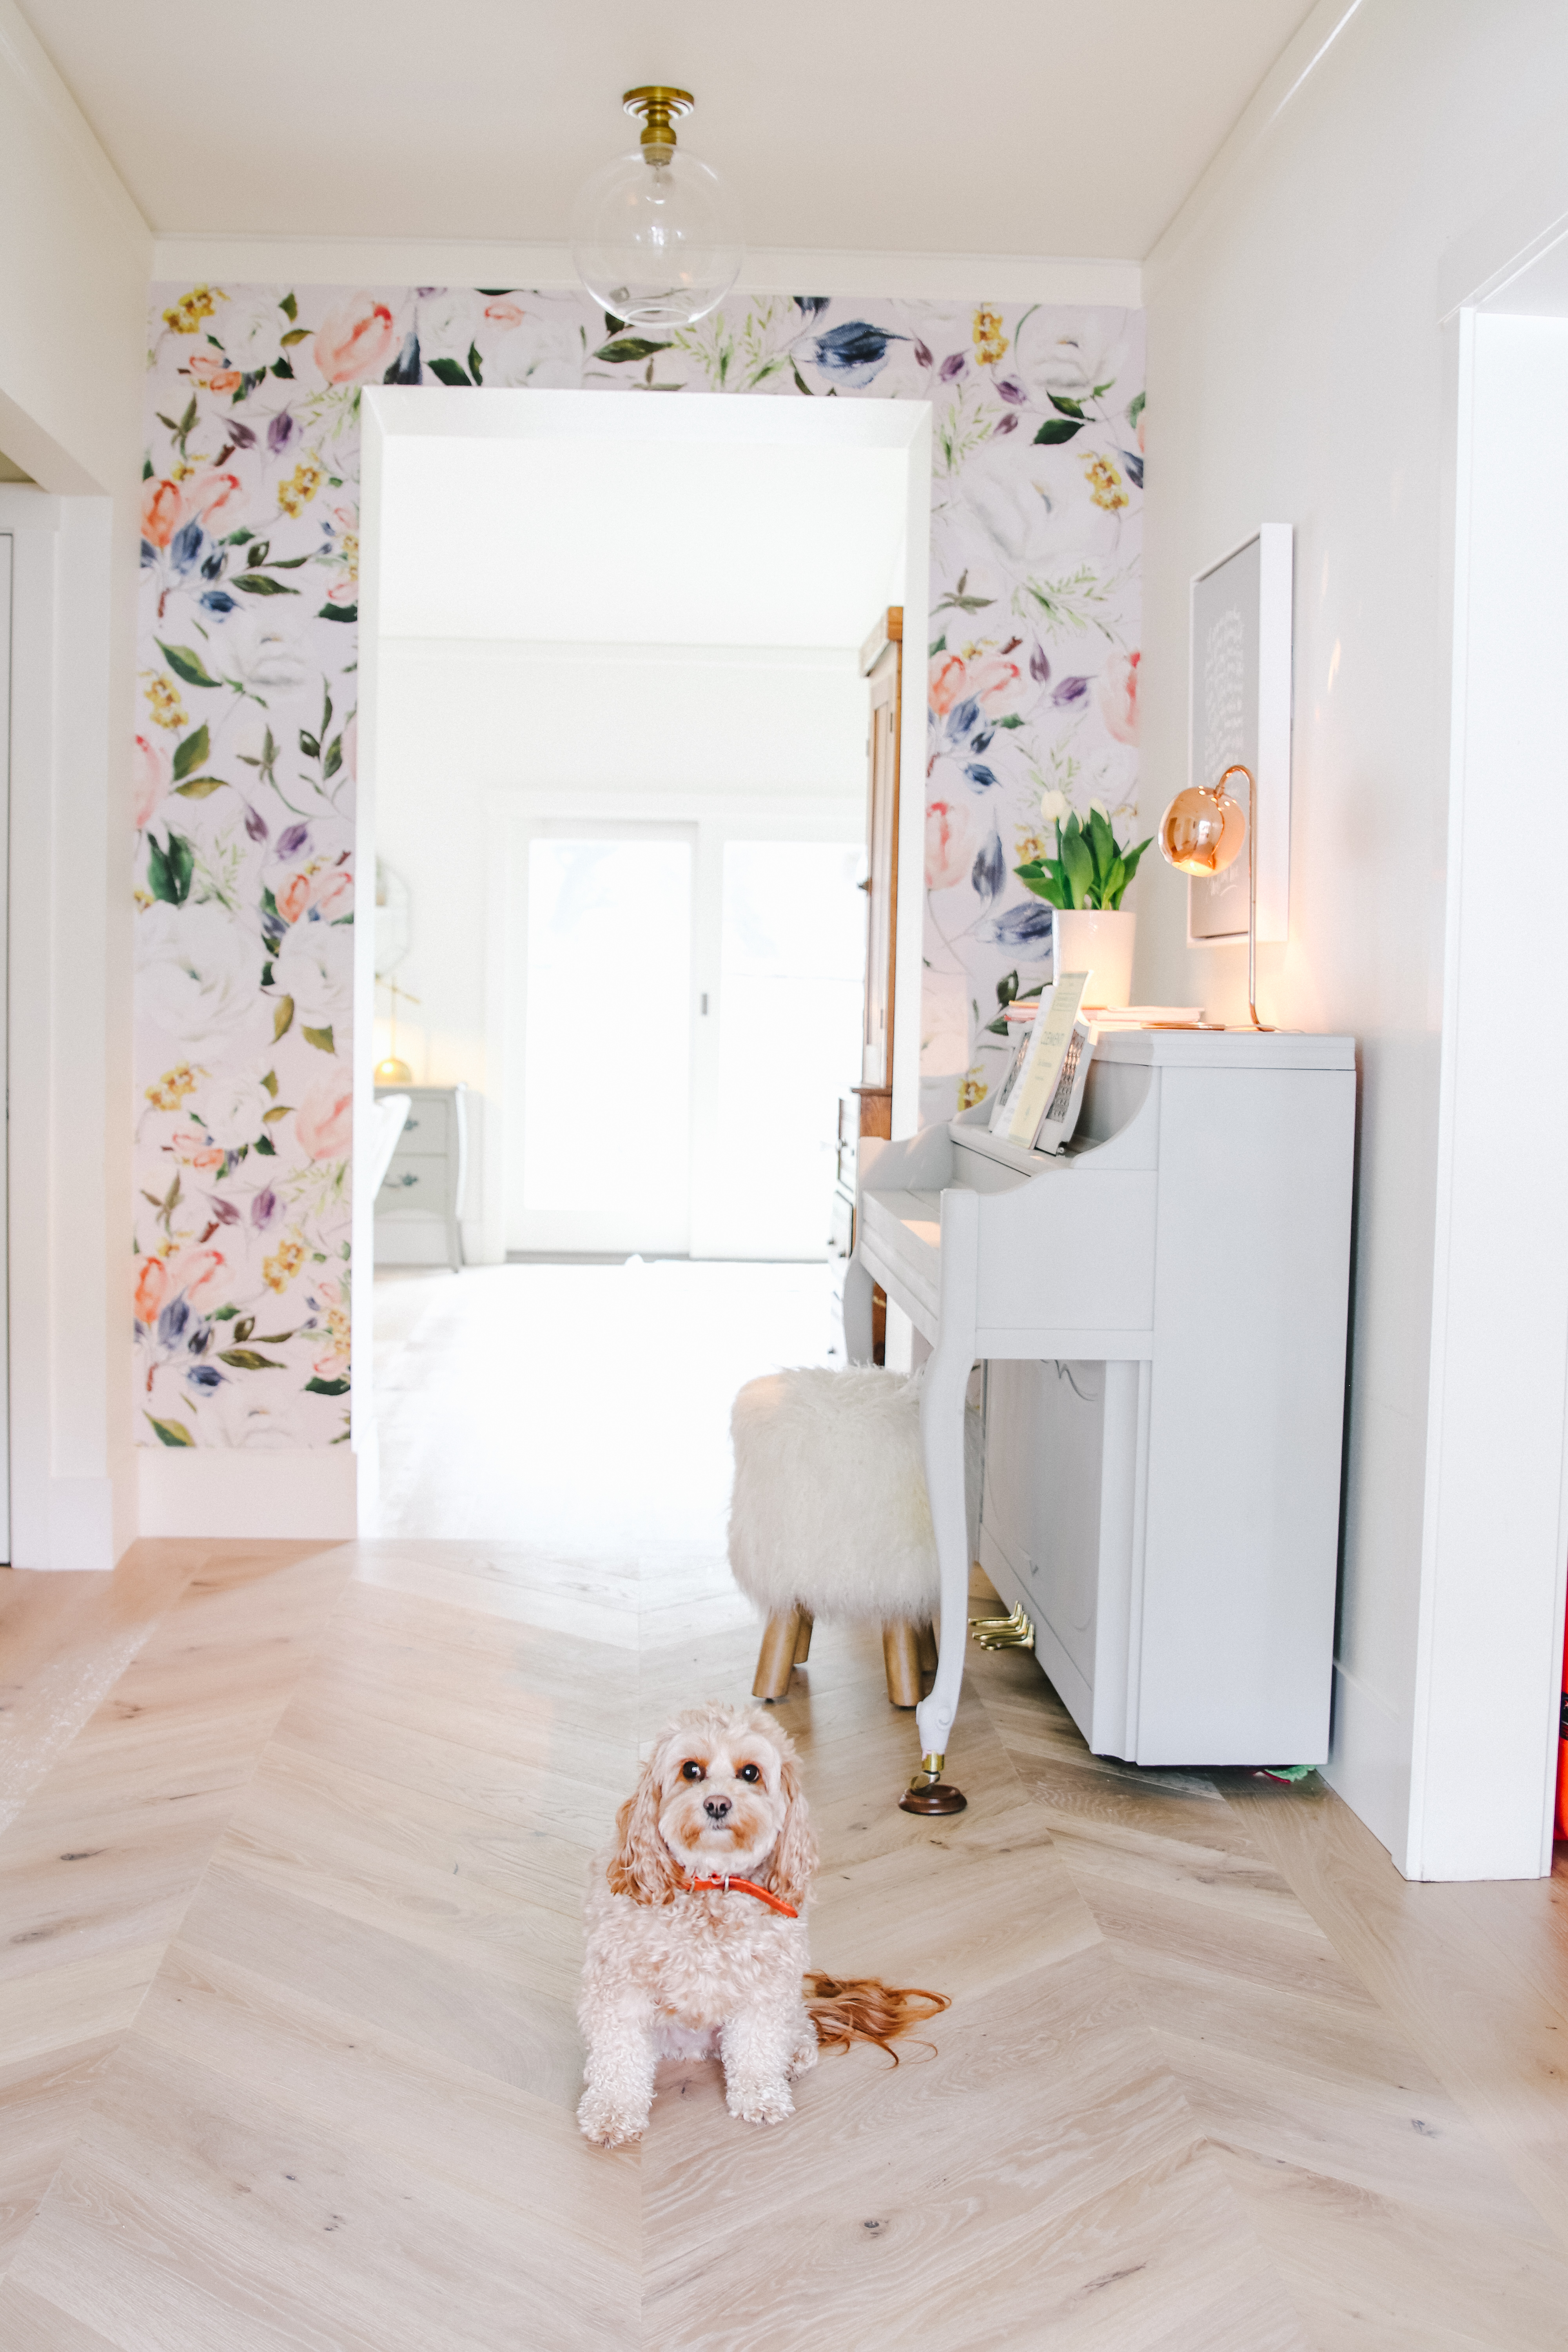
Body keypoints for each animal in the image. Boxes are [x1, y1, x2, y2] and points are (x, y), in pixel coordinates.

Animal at [576, 1703, 945, 2145]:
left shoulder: (765, 1987)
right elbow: (620, 2057)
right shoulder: (621, 1985)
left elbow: (757, 2047)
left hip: (787, 1997)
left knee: (796, 2025)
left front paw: (761, 2099)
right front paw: (612, 2114)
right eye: (691, 1770)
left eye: (750, 1773)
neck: (713, 1886)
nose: (717, 1804)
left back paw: (795, 2052)